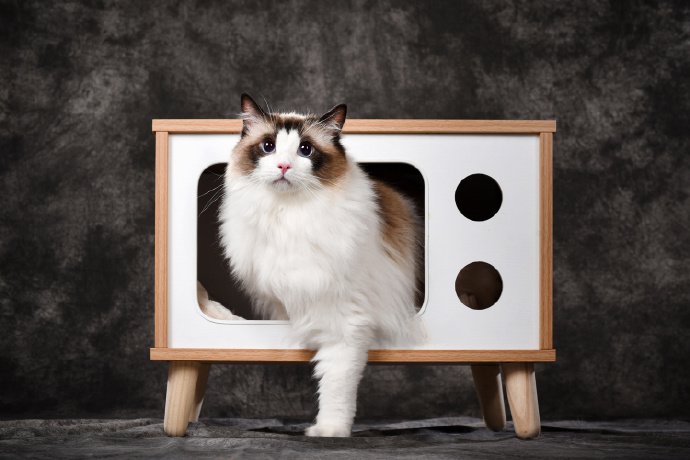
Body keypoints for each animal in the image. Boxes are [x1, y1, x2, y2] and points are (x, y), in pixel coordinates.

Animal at [214, 94, 423, 437]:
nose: (284, 166)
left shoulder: (344, 323)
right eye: (268, 146)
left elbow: (336, 387)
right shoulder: (284, 304)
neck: (288, 218)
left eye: (305, 150)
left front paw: (329, 431)